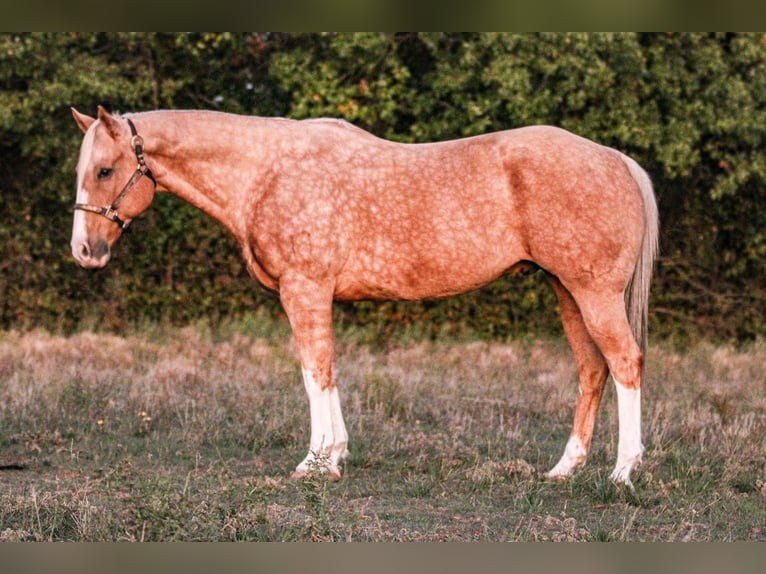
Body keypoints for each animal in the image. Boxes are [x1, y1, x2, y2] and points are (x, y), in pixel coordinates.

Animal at [70, 106, 660, 488]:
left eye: (105, 170)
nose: (84, 251)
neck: (267, 172)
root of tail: (617, 160)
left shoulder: (304, 288)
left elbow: (314, 369)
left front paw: (313, 462)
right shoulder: (318, 294)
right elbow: (329, 369)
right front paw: (335, 457)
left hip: (594, 292)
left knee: (624, 362)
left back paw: (622, 473)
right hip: (567, 290)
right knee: (592, 370)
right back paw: (564, 469)